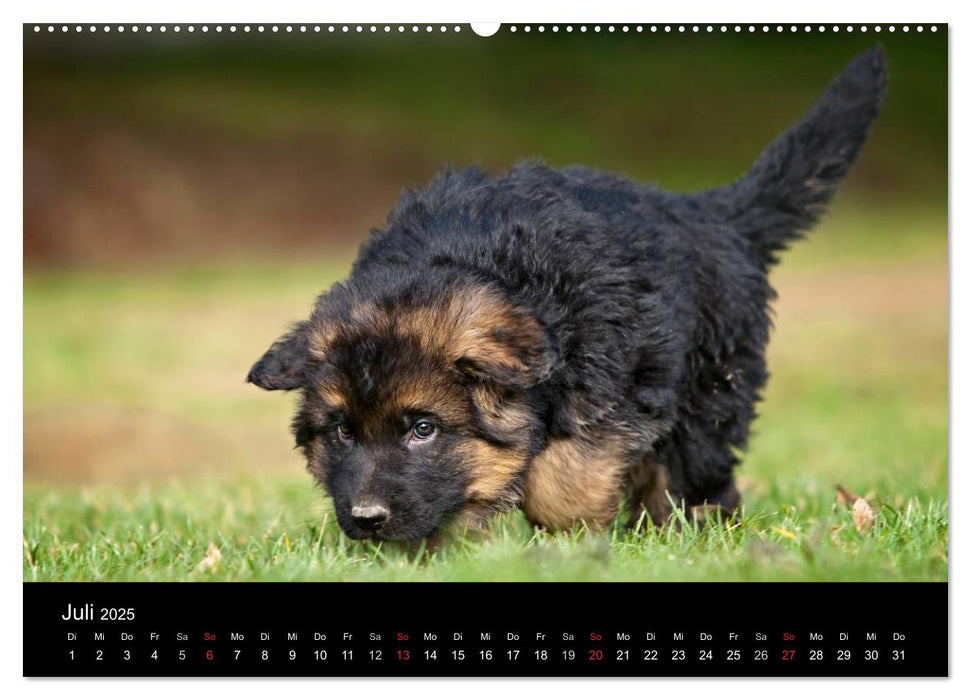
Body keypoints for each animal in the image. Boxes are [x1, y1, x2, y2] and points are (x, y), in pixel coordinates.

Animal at [249, 47, 888, 540]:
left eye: (422, 428)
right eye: (341, 431)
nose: (366, 519)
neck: (475, 261)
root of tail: (706, 211)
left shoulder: (616, 383)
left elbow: (564, 476)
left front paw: (571, 532)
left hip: (710, 390)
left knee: (697, 474)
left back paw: (687, 530)